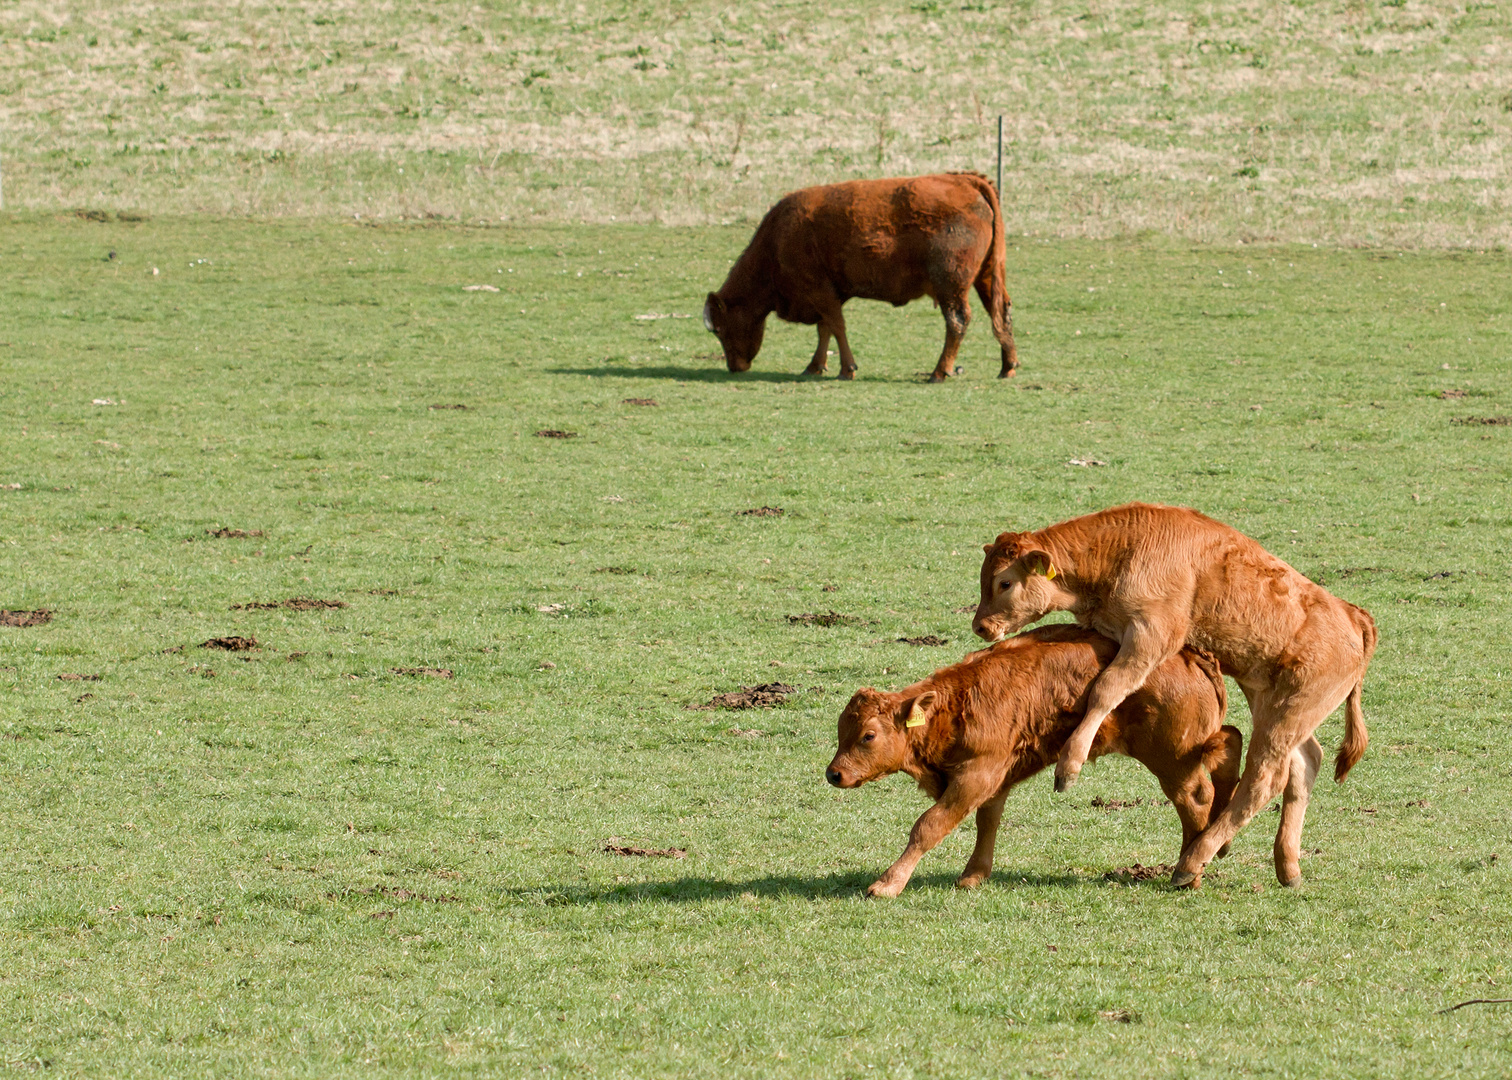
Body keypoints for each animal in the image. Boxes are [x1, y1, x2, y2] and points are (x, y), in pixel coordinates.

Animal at [704, 170, 1016, 381]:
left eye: (720, 329)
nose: (734, 367)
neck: (777, 239)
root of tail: (964, 180)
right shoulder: (829, 294)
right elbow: (825, 329)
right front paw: (815, 366)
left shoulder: (819, 290)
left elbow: (836, 326)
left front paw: (846, 369)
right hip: (985, 278)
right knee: (1001, 312)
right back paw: (1007, 367)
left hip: (951, 284)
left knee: (957, 321)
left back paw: (939, 372)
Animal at [828, 623, 1239, 889]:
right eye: (840, 730)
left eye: (868, 735)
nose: (834, 774)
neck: (954, 706)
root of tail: (1192, 655)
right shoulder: (995, 780)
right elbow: (988, 821)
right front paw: (973, 876)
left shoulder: (976, 775)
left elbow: (929, 826)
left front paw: (887, 884)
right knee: (1229, 744)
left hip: (1172, 760)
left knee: (1195, 800)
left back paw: (1187, 872)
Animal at [973, 499, 1378, 889]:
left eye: (1005, 582)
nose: (980, 626)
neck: (1121, 550)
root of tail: (1354, 615)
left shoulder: (1151, 634)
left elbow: (1107, 688)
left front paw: (1068, 767)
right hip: (1274, 705)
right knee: (1304, 765)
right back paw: (1286, 867)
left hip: (1286, 714)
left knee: (1264, 780)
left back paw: (1193, 861)